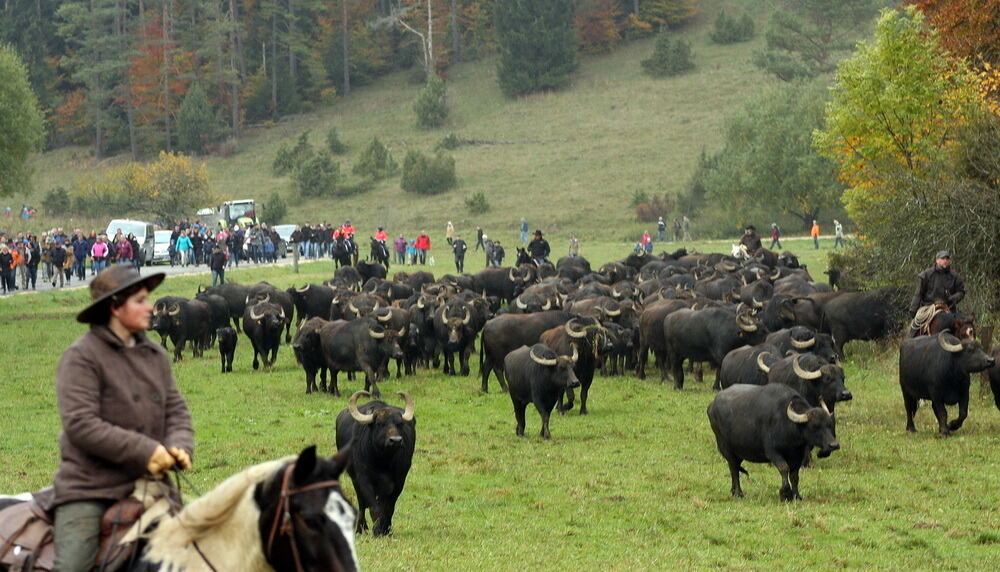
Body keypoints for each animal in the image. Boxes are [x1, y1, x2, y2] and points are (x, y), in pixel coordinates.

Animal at [336, 388, 414, 536]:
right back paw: (361, 528)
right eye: (379, 424)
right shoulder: (364, 479)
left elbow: (388, 508)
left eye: (399, 424)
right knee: (362, 503)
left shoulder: (399, 482)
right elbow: (373, 507)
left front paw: (386, 530)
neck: (383, 461)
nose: (396, 440)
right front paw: (377, 530)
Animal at [708, 384, 840, 500]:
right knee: (734, 469)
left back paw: (733, 490)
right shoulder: (773, 452)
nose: (834, 445)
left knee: (733, 467)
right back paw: (738, 493)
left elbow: (794, 475)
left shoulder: (798, 456)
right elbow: (784, 468)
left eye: (829, 424)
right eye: (815, 426)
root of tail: (711, 406)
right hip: (726, 448)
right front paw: (785, 493)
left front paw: (796, 495)